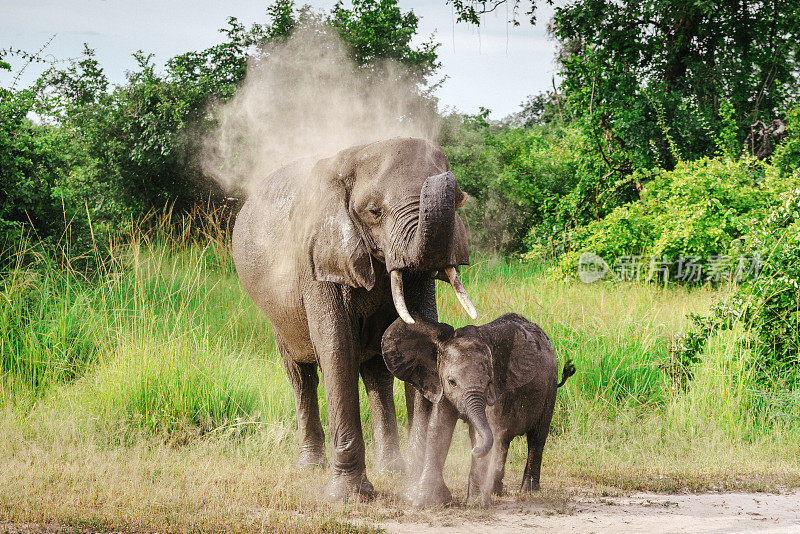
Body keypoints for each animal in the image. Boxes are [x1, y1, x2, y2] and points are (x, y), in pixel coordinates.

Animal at [231, 136, 476, 500]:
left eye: (459, 202)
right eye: (374, 212)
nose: (452, 182)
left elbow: (418, 335)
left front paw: (421, 494)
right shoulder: (318, 260)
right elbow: (336, 349)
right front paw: (349, 497)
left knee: (377, 375)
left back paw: (392, 469)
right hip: (277, 315)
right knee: (300, 376)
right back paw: (310, 466)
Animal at [382, 314, 576, 506]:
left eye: (489, 381)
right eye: (452, 382)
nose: (473, 451)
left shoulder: (497, 390)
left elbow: (483, 433)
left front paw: (476, 503)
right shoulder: (441, 385)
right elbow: (438, 428)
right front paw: (426, 501)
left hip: (550, 389)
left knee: (537, 437)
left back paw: (528, 491)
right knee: (503, 440)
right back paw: (496, 490)